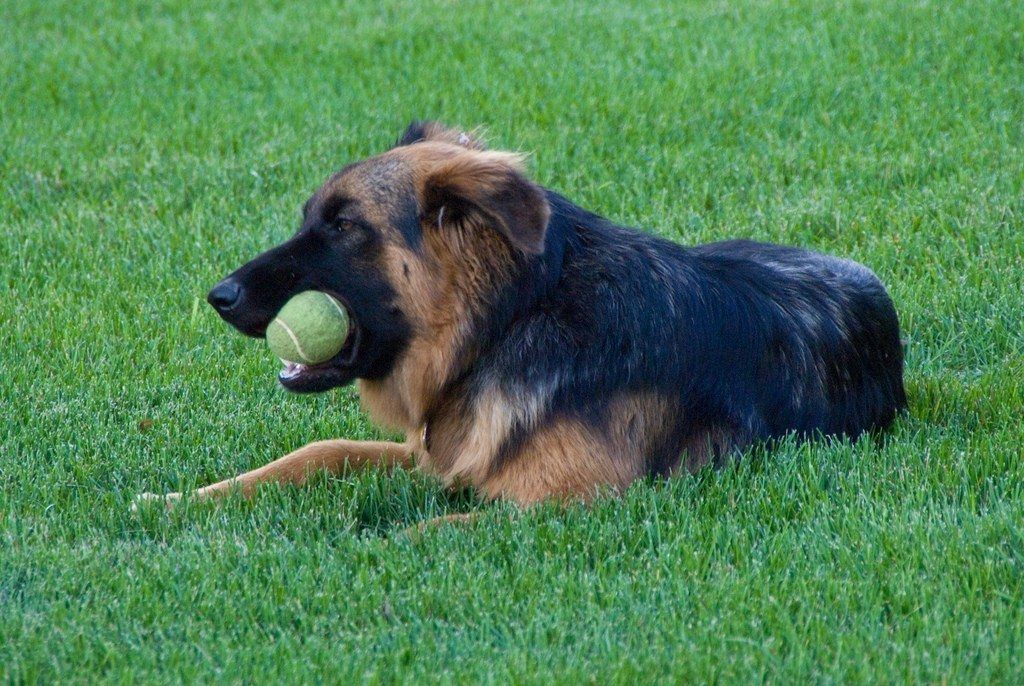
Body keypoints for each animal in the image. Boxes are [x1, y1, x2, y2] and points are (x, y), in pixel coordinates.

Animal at [136, 120, 905, 516]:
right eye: (307, 219)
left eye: (344, 226)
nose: (220, 295)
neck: (507, 322)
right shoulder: (438, 453)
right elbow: (318, 452)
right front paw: (179, 498)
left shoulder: (560, 507)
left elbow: (425, 531)